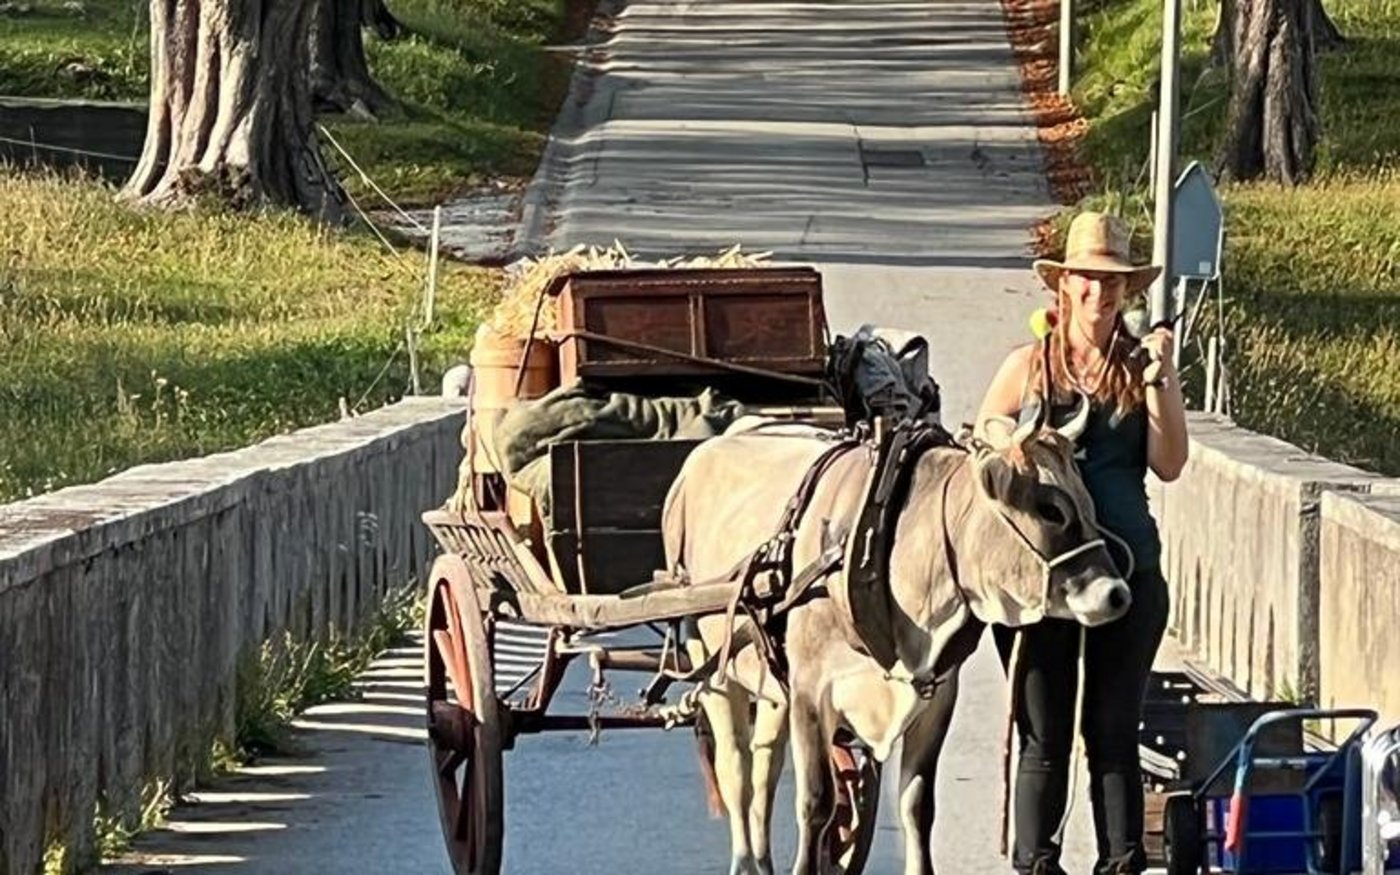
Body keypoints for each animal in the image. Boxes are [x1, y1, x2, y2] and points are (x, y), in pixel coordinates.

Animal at [661, 407, 1132, 875]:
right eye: (1051, 510)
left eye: (1089, 502)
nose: (1117, 594)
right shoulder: (811, 690)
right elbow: (817, 802)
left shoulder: (937, 694)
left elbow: (917, 804)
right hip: (714, 667)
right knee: (736, 768)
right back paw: (744, 858)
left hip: (770, 681)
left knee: (765, 767)